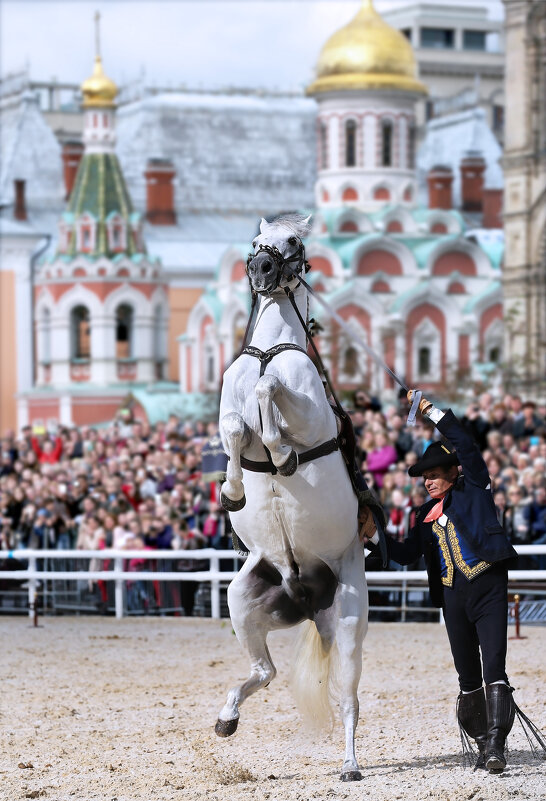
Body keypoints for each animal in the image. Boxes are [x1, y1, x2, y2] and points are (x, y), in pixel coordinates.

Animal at [215, 214, 368, 780]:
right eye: (258, 241)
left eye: (294, 241)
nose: (262, 268)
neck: (269, 353)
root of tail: (307, 597)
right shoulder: (225, 412)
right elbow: (236, 426)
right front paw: (234, 489)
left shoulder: (308, 412)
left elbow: (269, 398)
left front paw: (281, 454)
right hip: (242, 600)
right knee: (265, 671)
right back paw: (227, 717)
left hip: (349, 620)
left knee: (348, 698)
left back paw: (350, 764)